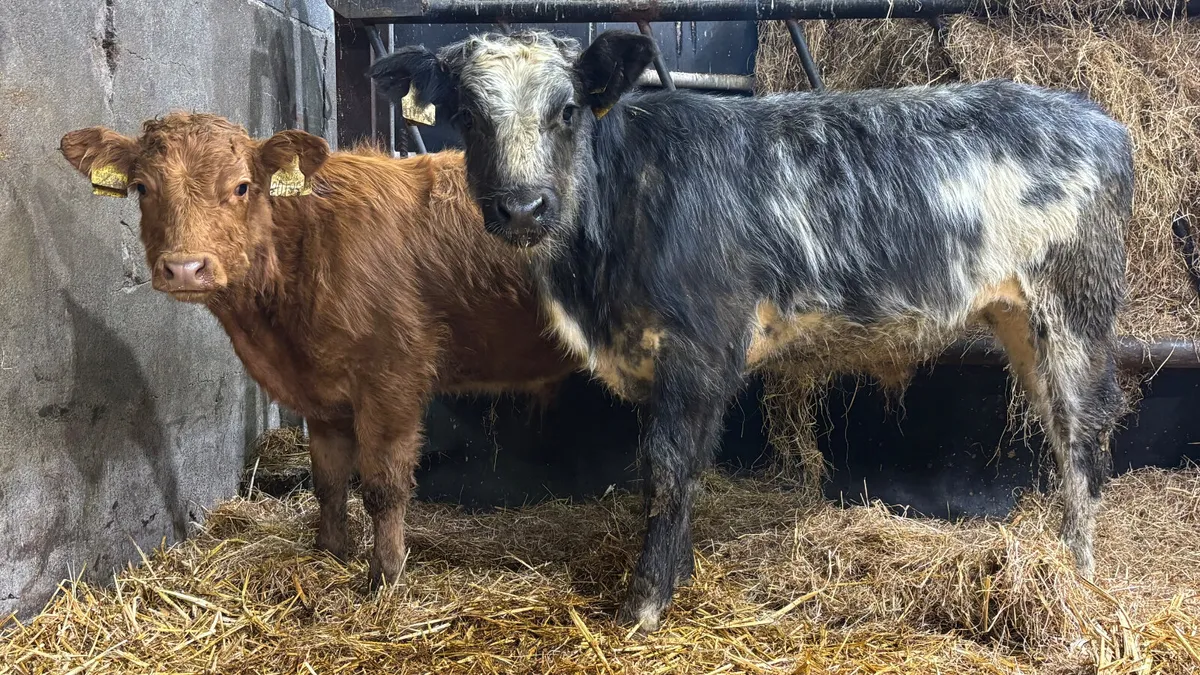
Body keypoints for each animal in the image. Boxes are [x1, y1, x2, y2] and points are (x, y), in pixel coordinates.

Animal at [60, 113, 577, 590]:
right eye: (143, 188)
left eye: (242, 187)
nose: (185, 268)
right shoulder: (322, 392)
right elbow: (327, 479)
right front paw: (329, 550)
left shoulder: (393, 379)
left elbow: (383, 487)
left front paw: (385, 575)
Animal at [371, 30, 1133, 632]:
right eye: (467, 116)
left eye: (566, 110)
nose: (522, 207)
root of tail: (1097, 118)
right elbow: (666, 473)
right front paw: (675, 572)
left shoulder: (702, 344)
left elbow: (670, 466)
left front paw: (644, 602)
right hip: (1022, 320)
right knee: (1061, 428)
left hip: (1074, 311)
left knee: (1083, 435)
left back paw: (1079, 570)